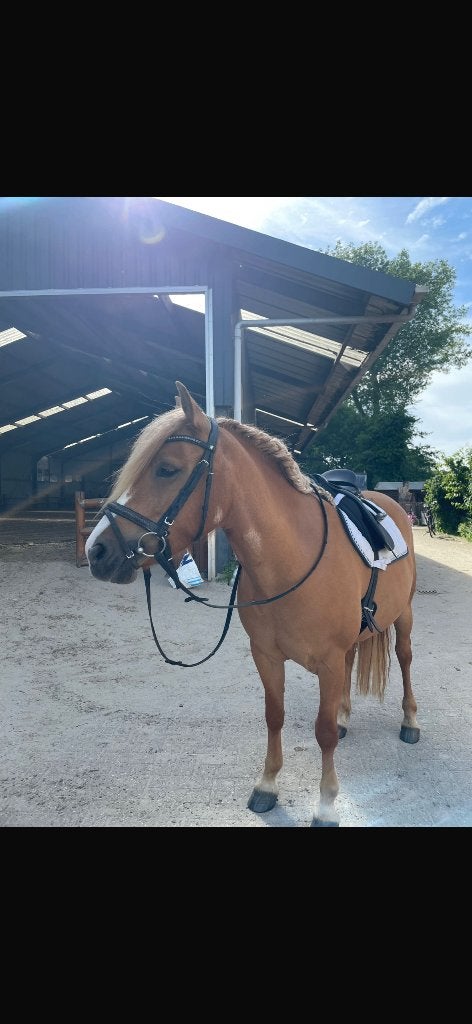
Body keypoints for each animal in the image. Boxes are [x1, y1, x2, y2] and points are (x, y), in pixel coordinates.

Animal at [85, 382, 419, 827]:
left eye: (167, 469)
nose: (96, 551)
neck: (290, 559)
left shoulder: (328, 661)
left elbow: (322, 732)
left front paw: (326, 804)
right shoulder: (266, 655)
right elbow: (274, 716)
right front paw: (267, 785)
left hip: (404, 617)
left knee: (405, 659)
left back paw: (411, 721)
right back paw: (346, 716)